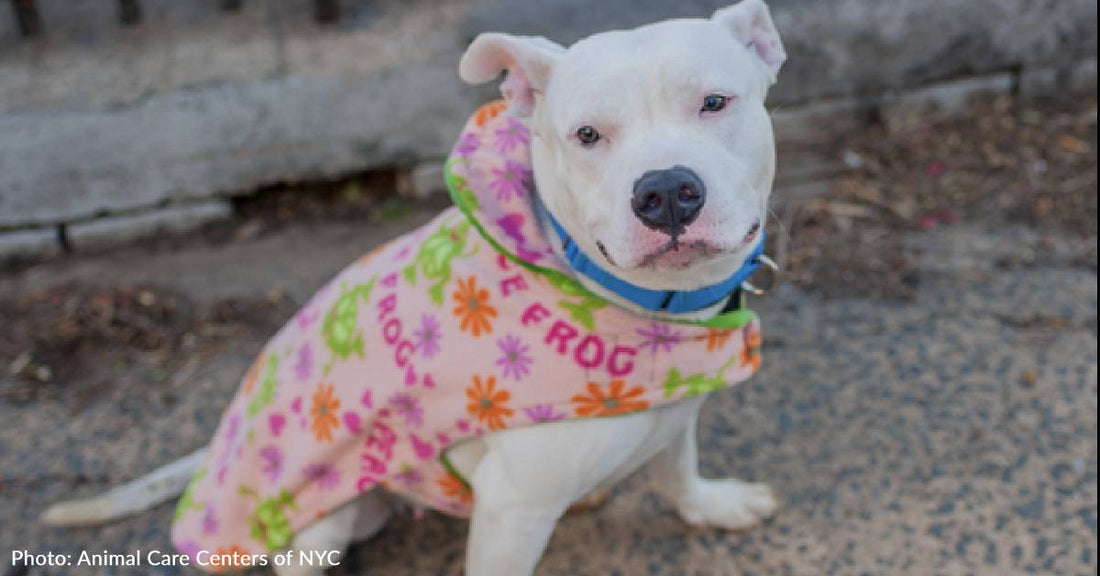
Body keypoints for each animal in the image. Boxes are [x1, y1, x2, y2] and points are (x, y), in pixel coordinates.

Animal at [40, 2, 783, 571]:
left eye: (715, 102)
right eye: (587, 135)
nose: (665, 192)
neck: (646, 312)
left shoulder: (677, 414)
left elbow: (677, 471)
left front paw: (712, 505)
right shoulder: (512, 511)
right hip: (325, 514)